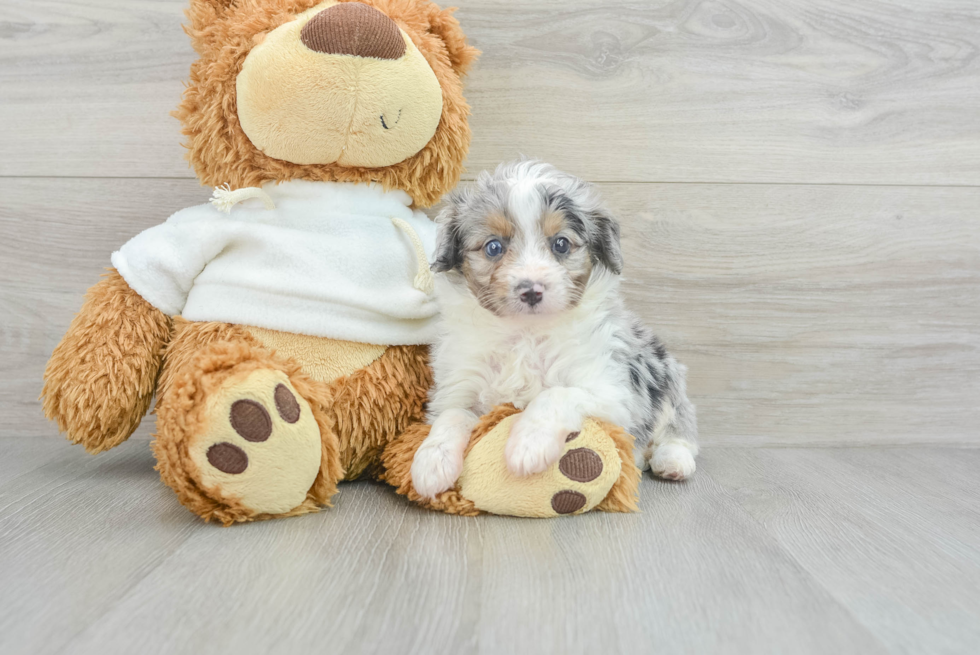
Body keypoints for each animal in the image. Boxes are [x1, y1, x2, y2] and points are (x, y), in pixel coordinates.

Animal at [410, 161, 700, 500]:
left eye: (561, 244)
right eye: (493, 247)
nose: (531, 290)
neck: (526, 334)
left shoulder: (613, 394)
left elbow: (556, 394)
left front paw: (528, 444)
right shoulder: (459, 387)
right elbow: (451, 416)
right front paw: (431, 460)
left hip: (666, 376)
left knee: (678, 428)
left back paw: (672, 460)